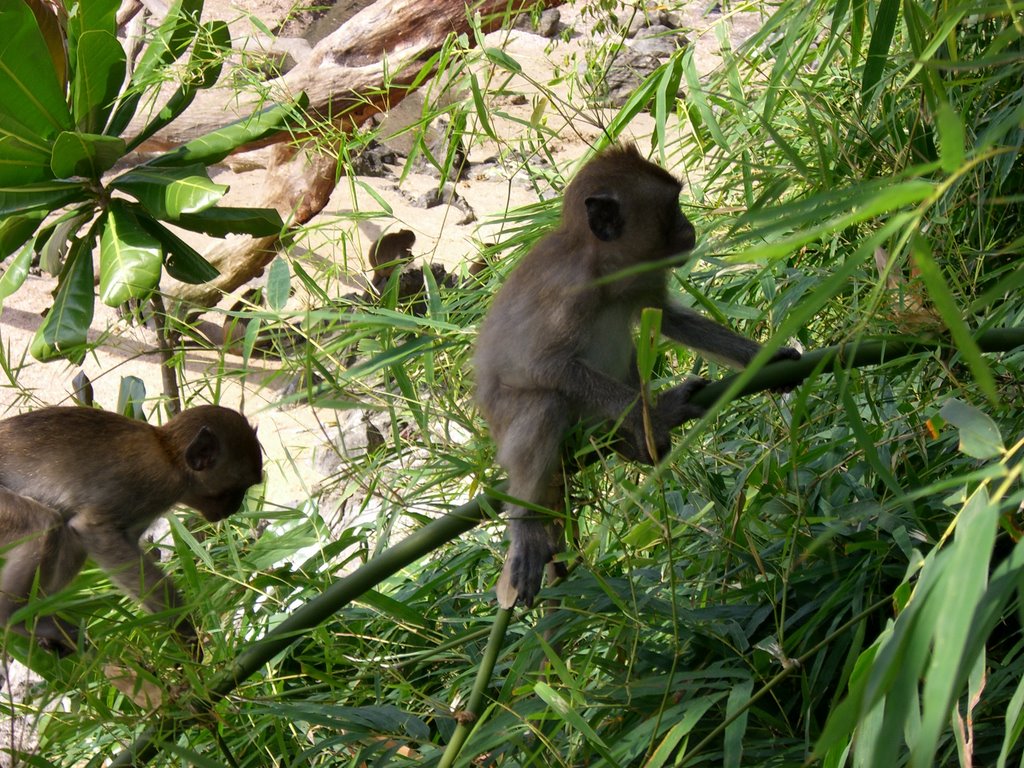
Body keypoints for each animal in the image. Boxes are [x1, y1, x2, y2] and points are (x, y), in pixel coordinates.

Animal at [1, 405, 264, 659]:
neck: (169, 455)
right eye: (237, 488)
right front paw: (185, 633)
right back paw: (14, 618)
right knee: (43, 526)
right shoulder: (150, 485)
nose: (236, 507)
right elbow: (94, 532)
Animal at [475, 143, 802, 614]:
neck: (603, 270)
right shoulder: (569, 294)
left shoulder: (644, 278)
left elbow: (667, 317)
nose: (690, 226)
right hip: (518, 425)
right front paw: (656, 414)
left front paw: (766, 358)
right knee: (545, 403)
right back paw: (528, 526)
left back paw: (637, 443)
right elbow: (539, 365)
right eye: (673, 208)